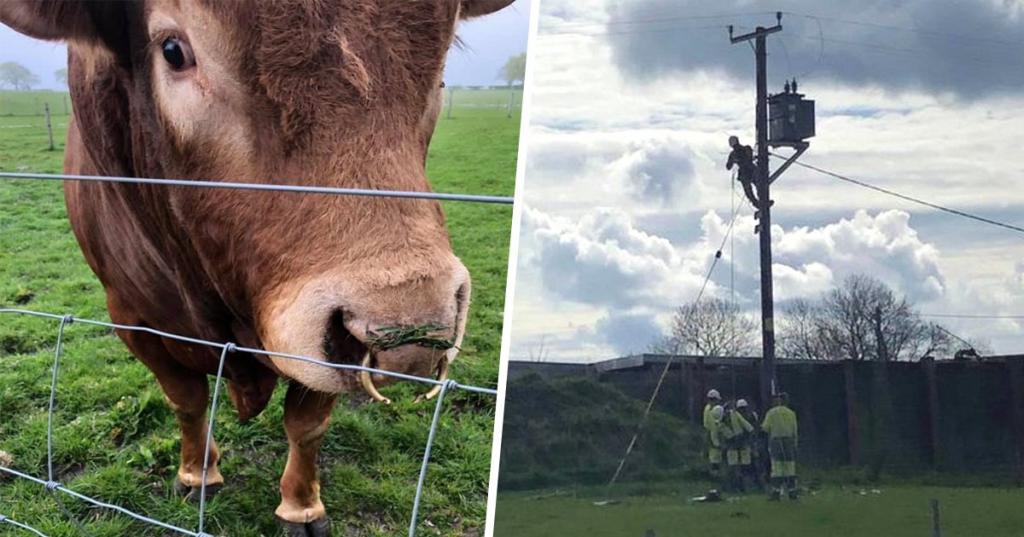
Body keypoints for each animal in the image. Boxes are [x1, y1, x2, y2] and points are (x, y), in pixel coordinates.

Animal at [0, 2, 512, 532]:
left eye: (439, 60)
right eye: (172, 51)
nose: (410, 331)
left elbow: (307, 425)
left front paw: (301, 506)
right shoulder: (132, 318)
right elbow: (187, 400)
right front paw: (196, 474)